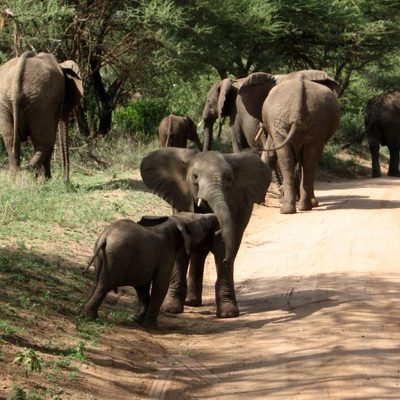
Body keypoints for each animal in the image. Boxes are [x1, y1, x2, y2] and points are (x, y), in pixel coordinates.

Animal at [0, 51, 83, 181]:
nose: (66, 181)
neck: (61, 65)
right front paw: (46, 179)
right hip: (39, 100)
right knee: (46, 141)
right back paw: (36, 177)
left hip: (9, 100)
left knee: (11, 141)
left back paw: (15, 179)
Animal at [82, 212, 217, 328]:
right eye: (202, 221)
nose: (214, 216)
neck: (174, 222)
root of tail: (105, 237)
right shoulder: (165, 256)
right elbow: (160, 286)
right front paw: (151, 326)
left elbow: (142, 287)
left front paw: (135, 320)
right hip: (116, 256)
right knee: (105, 285)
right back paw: (90, 316)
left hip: (100, 254)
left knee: (96, 281)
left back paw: (83, 311)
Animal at [141, 147, 272, 318]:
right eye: (195, 177)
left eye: (229, 179)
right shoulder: (182, 196)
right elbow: (181, 245)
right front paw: (171, 309)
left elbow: (222, 245)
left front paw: (228, 314)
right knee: (199, 252)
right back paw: (191, 302)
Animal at [256, 73, 340, 214]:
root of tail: (297, 111)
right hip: (310, 124)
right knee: (307, 161)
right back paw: (300, 207)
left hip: (288, 123)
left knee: (293, 160)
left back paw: (291, 208)